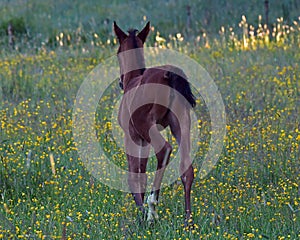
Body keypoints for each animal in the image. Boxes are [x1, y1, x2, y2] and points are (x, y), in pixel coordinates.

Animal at [113, 21, 196, 224]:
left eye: (118, 52)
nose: (120, 82)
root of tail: (169, 75)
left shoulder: (133, 136)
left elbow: (134, 175)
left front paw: (141, 213)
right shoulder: (143, 140)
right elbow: (141, 173)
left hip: (147, 126)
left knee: (164, 149)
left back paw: (151, 209)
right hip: (181, 122)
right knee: (187, 168)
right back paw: (188, 220)